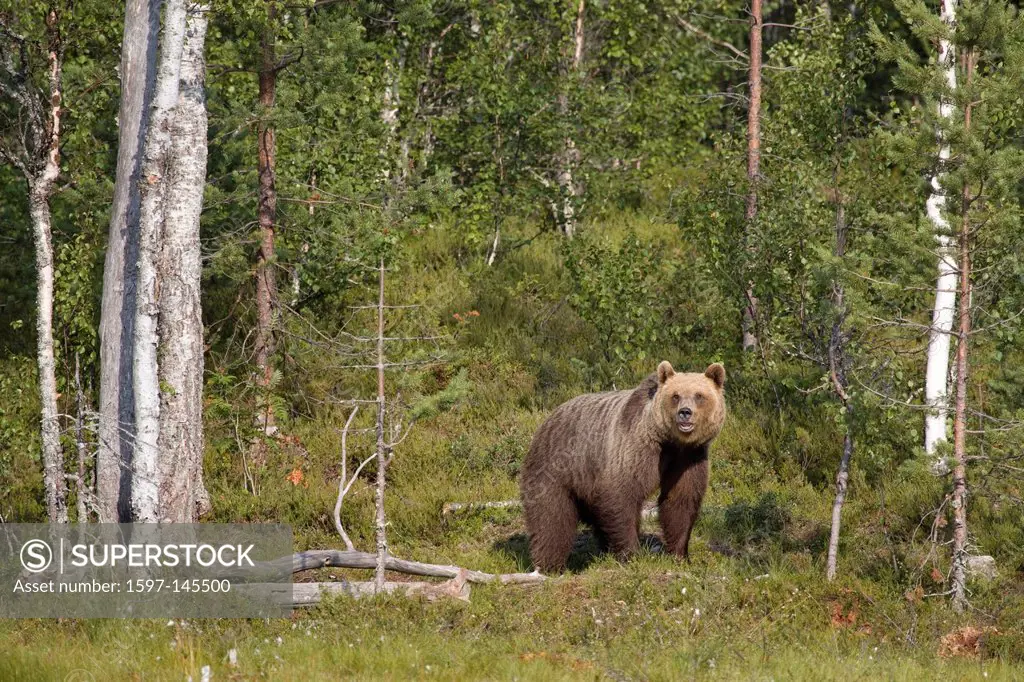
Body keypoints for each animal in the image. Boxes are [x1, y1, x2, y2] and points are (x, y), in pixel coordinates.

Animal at [520, 358, 729, 569]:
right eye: (676, 396)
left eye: (699, 395)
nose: (685, 413)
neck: (670, 441)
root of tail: (548, 418)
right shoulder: (634, 449)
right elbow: (621, 495)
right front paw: (631, 554)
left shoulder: (690, 458)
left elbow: (680, 500)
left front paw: (680, 555)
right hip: (557, 467)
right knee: (551, 517)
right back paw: (551, 564)